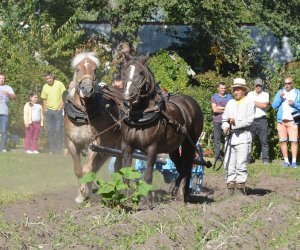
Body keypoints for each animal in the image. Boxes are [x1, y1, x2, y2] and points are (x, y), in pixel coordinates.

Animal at [64, 52, 123, 203]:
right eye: (78, 69)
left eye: (95, 70)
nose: (87, 89)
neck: (83, 115)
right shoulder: (72, 143)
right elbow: (78, 170)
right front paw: (81, 195)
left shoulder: (95, 143)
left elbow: (87, 169)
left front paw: (84, 191)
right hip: (107, 149)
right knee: (97, 167)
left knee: (119, 167)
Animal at [119, 53, 204, 203]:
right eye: (124, 71)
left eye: (141, 73)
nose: (128, 95)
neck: (139, 115)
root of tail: (192, 102)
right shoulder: (127, 146)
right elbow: (127, 172)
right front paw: (125, 198)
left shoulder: (152, 148)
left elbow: (148, 174)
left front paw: (147, 201)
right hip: (174, 148)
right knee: (180, 166)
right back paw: (180, 192)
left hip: (190, 143)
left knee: (187, 167)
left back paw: (181, 195)